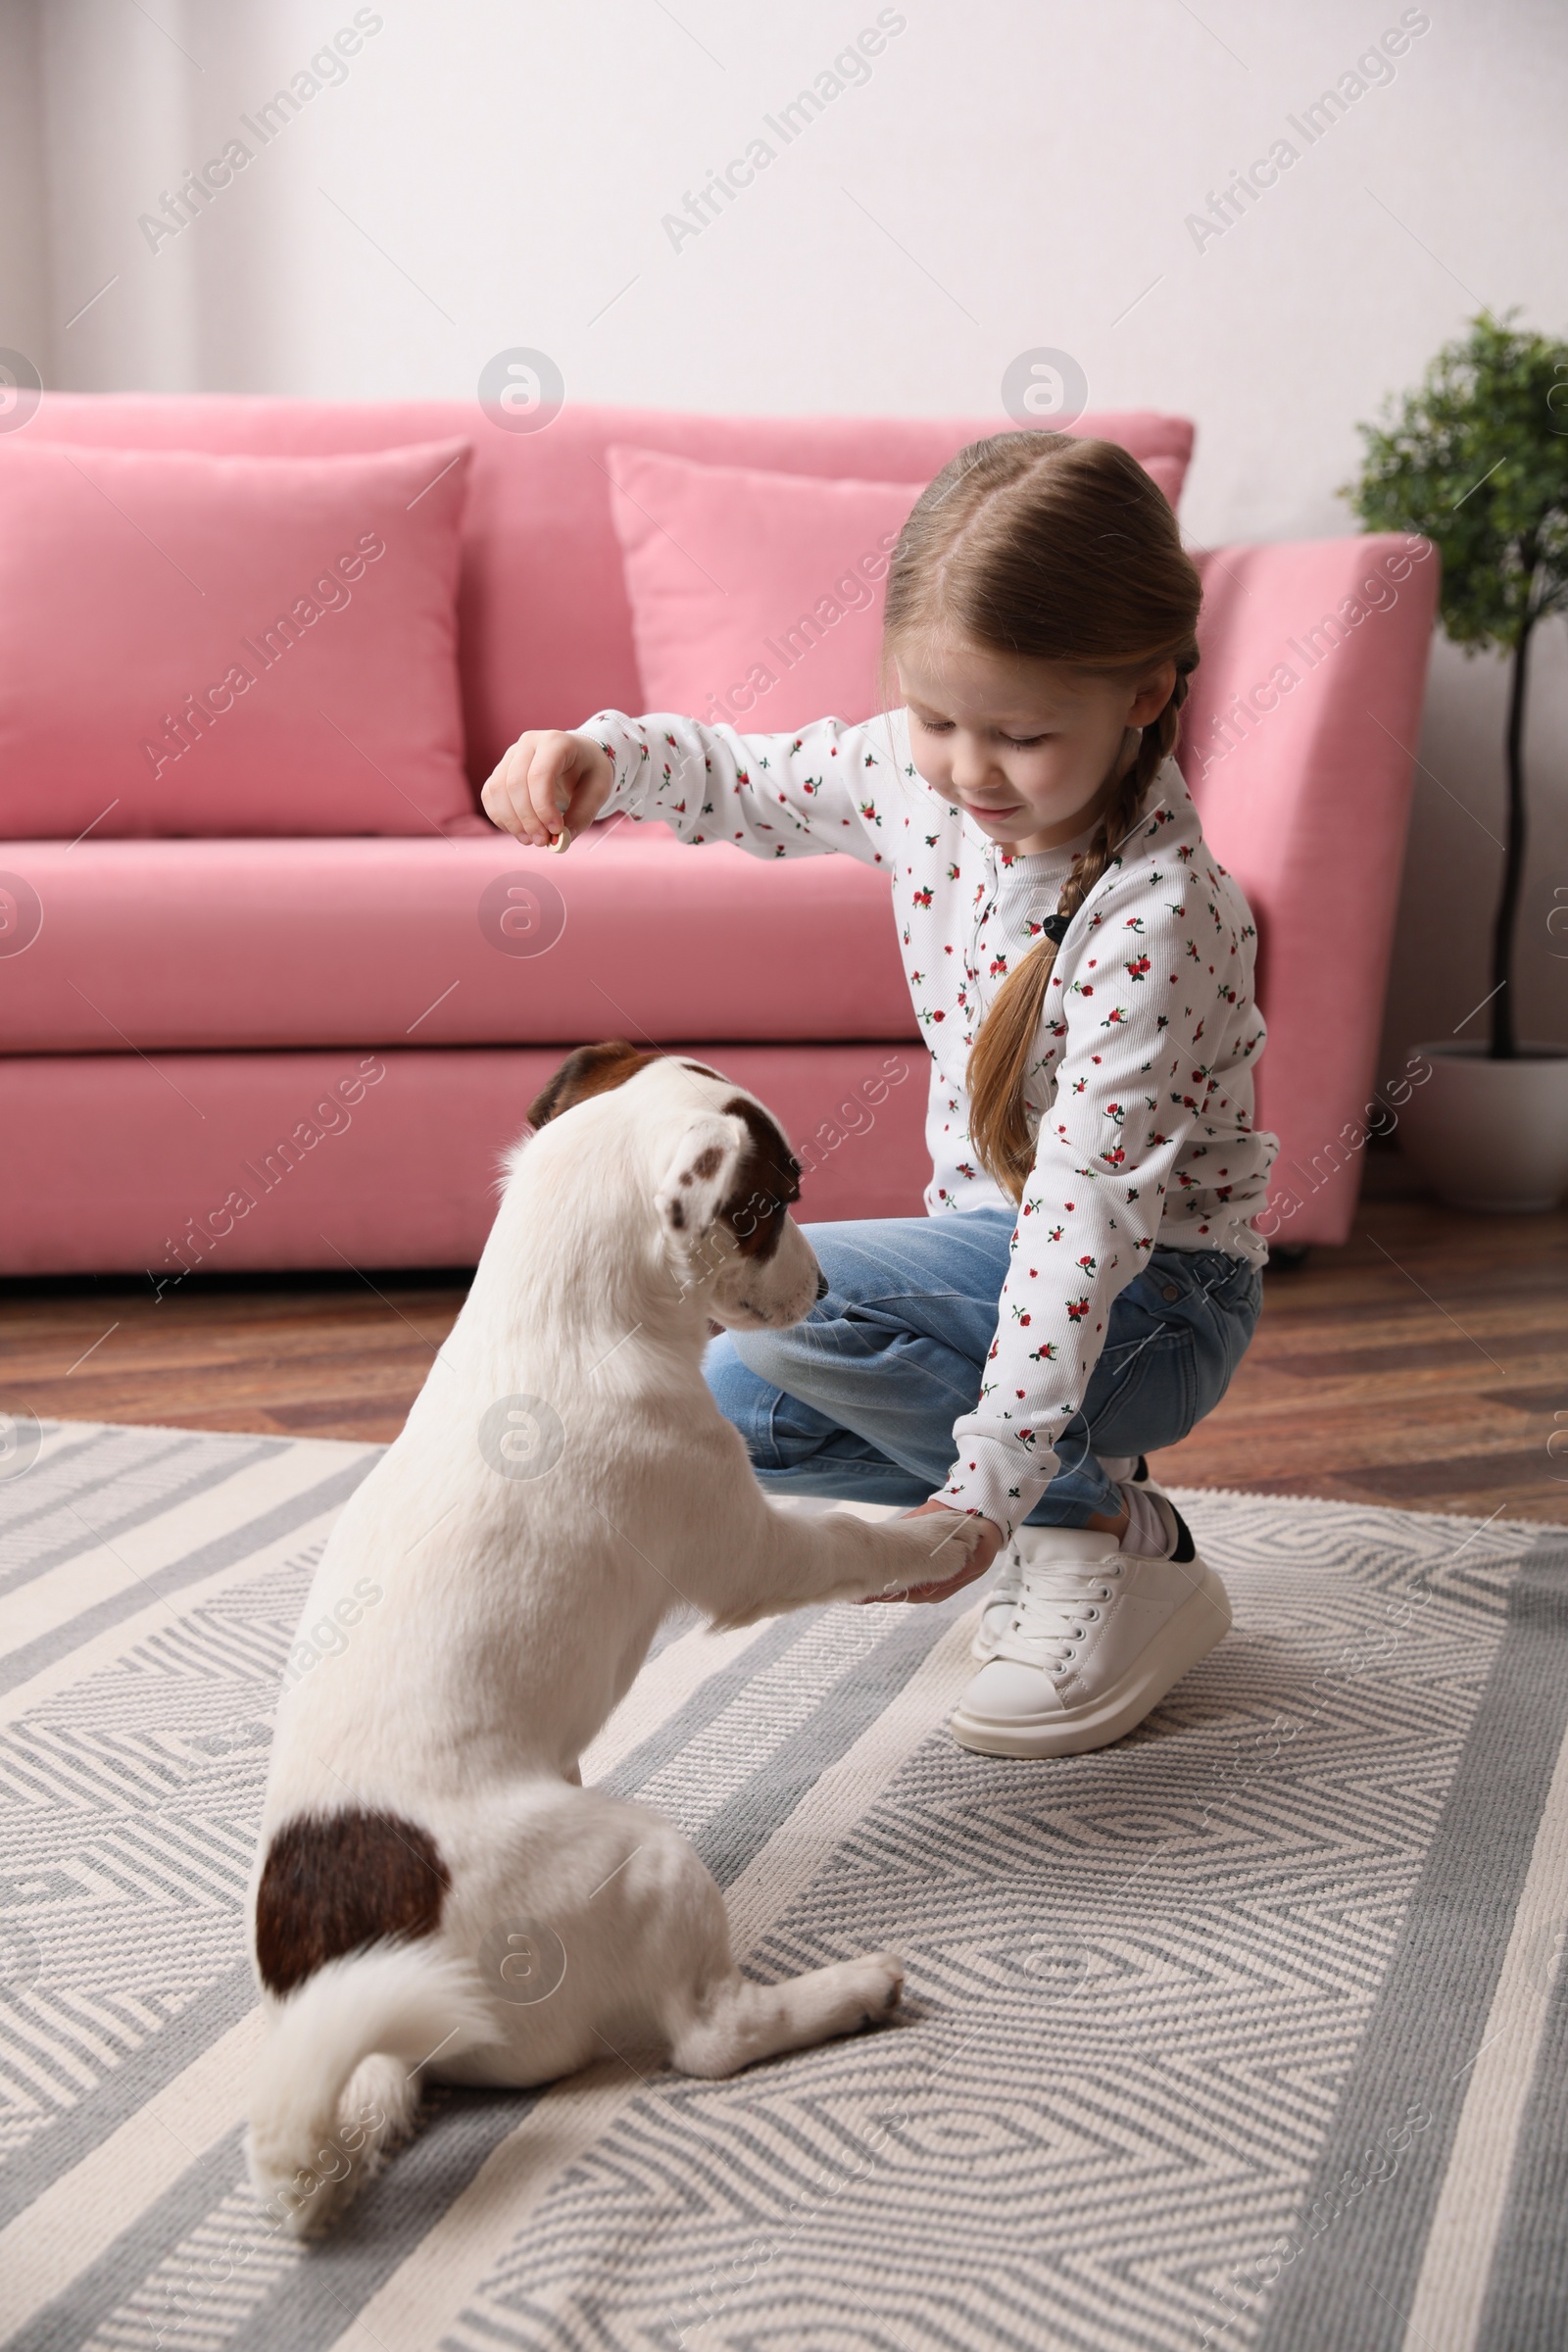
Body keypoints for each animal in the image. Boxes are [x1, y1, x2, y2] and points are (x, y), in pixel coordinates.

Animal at [246, 1039, 987, 2230]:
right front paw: (943, 1535)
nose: (826, 1289)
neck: (558, 1317)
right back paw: (851, 1993)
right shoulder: (748, 1549)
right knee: (711, 2038)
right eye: (773, 1204)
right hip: (642, 1860)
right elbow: (849, 1539)